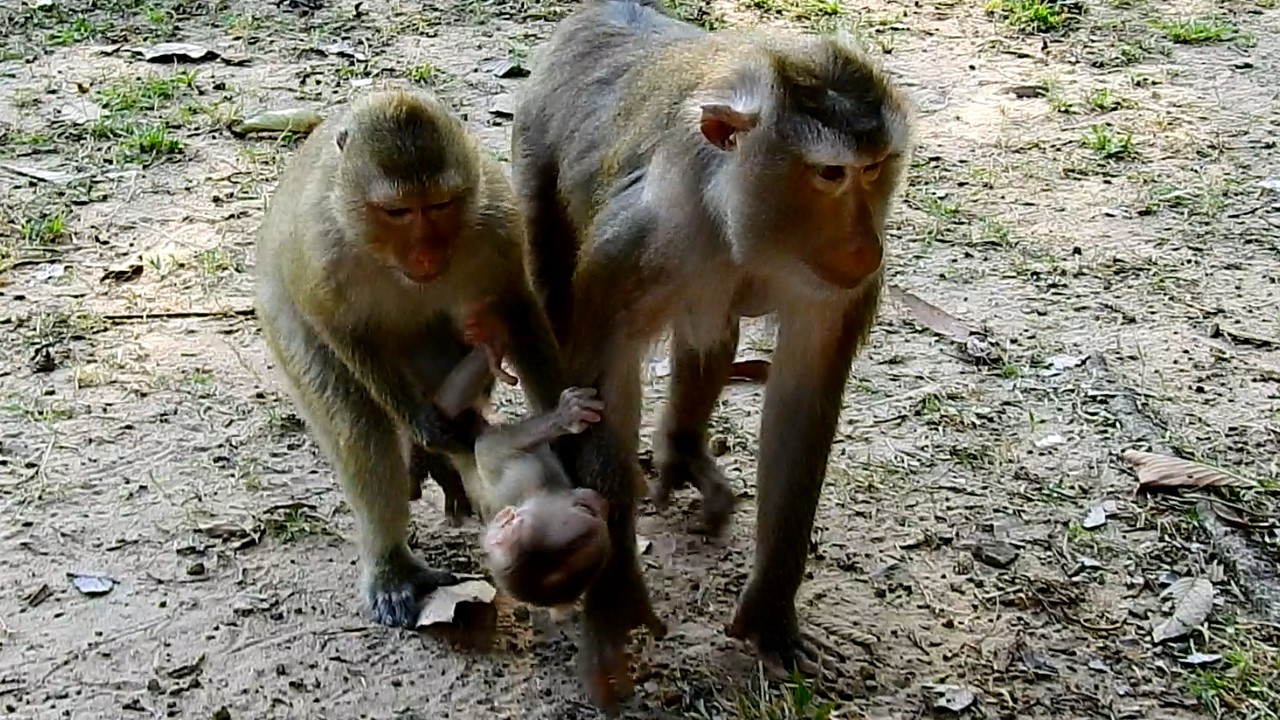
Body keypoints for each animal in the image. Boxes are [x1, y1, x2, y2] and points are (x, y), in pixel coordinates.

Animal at [254, 87, 569, 629]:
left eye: (440, 204)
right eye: (398, 212)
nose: (425, 255)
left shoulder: (498, 224)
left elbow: (516, 307)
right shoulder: (322, 252)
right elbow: (343, 331)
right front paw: (422, 425)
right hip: (282, 321)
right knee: (357, 427)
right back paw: (393, 564)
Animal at [510, 0, 913, 710]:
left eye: (873, 169)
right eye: (830, 173)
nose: (867, 246)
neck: (739, 220)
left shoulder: (839, 291)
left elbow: (803, 396)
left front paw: (771, 614)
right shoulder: (636, 242)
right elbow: (601, 384)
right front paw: (614, 603)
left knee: (711, 328)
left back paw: (684, 450)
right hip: (533, 149)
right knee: (557, 308)